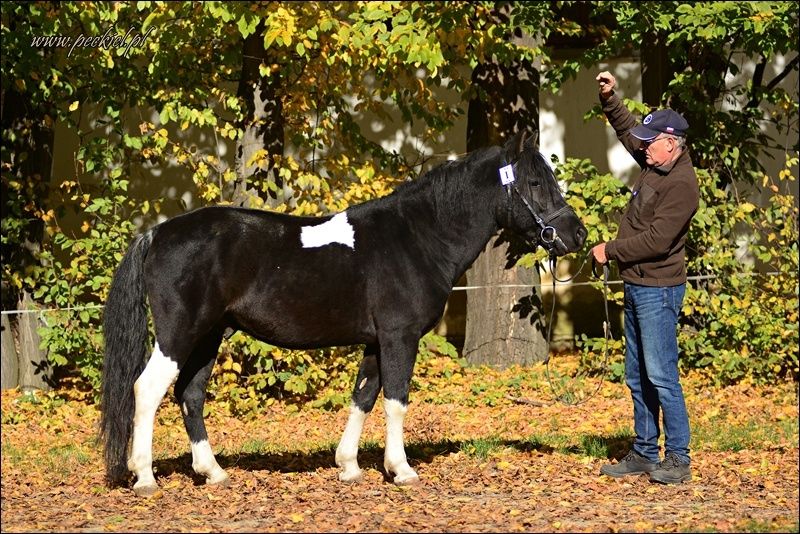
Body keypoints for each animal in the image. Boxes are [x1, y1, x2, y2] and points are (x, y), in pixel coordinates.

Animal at [100, 131, 588, 498]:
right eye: (536, 183)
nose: (577, 234)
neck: (417, 237)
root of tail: (158, 233)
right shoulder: (399, 337)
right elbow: (395, 401)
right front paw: (401, 470)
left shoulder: (375, 340)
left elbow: (364, 396)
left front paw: (349, 466)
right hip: (180, 333)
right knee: (147, 390)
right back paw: (145, 478)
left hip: (209, 335)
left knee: (190, 395)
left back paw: (213, 472)